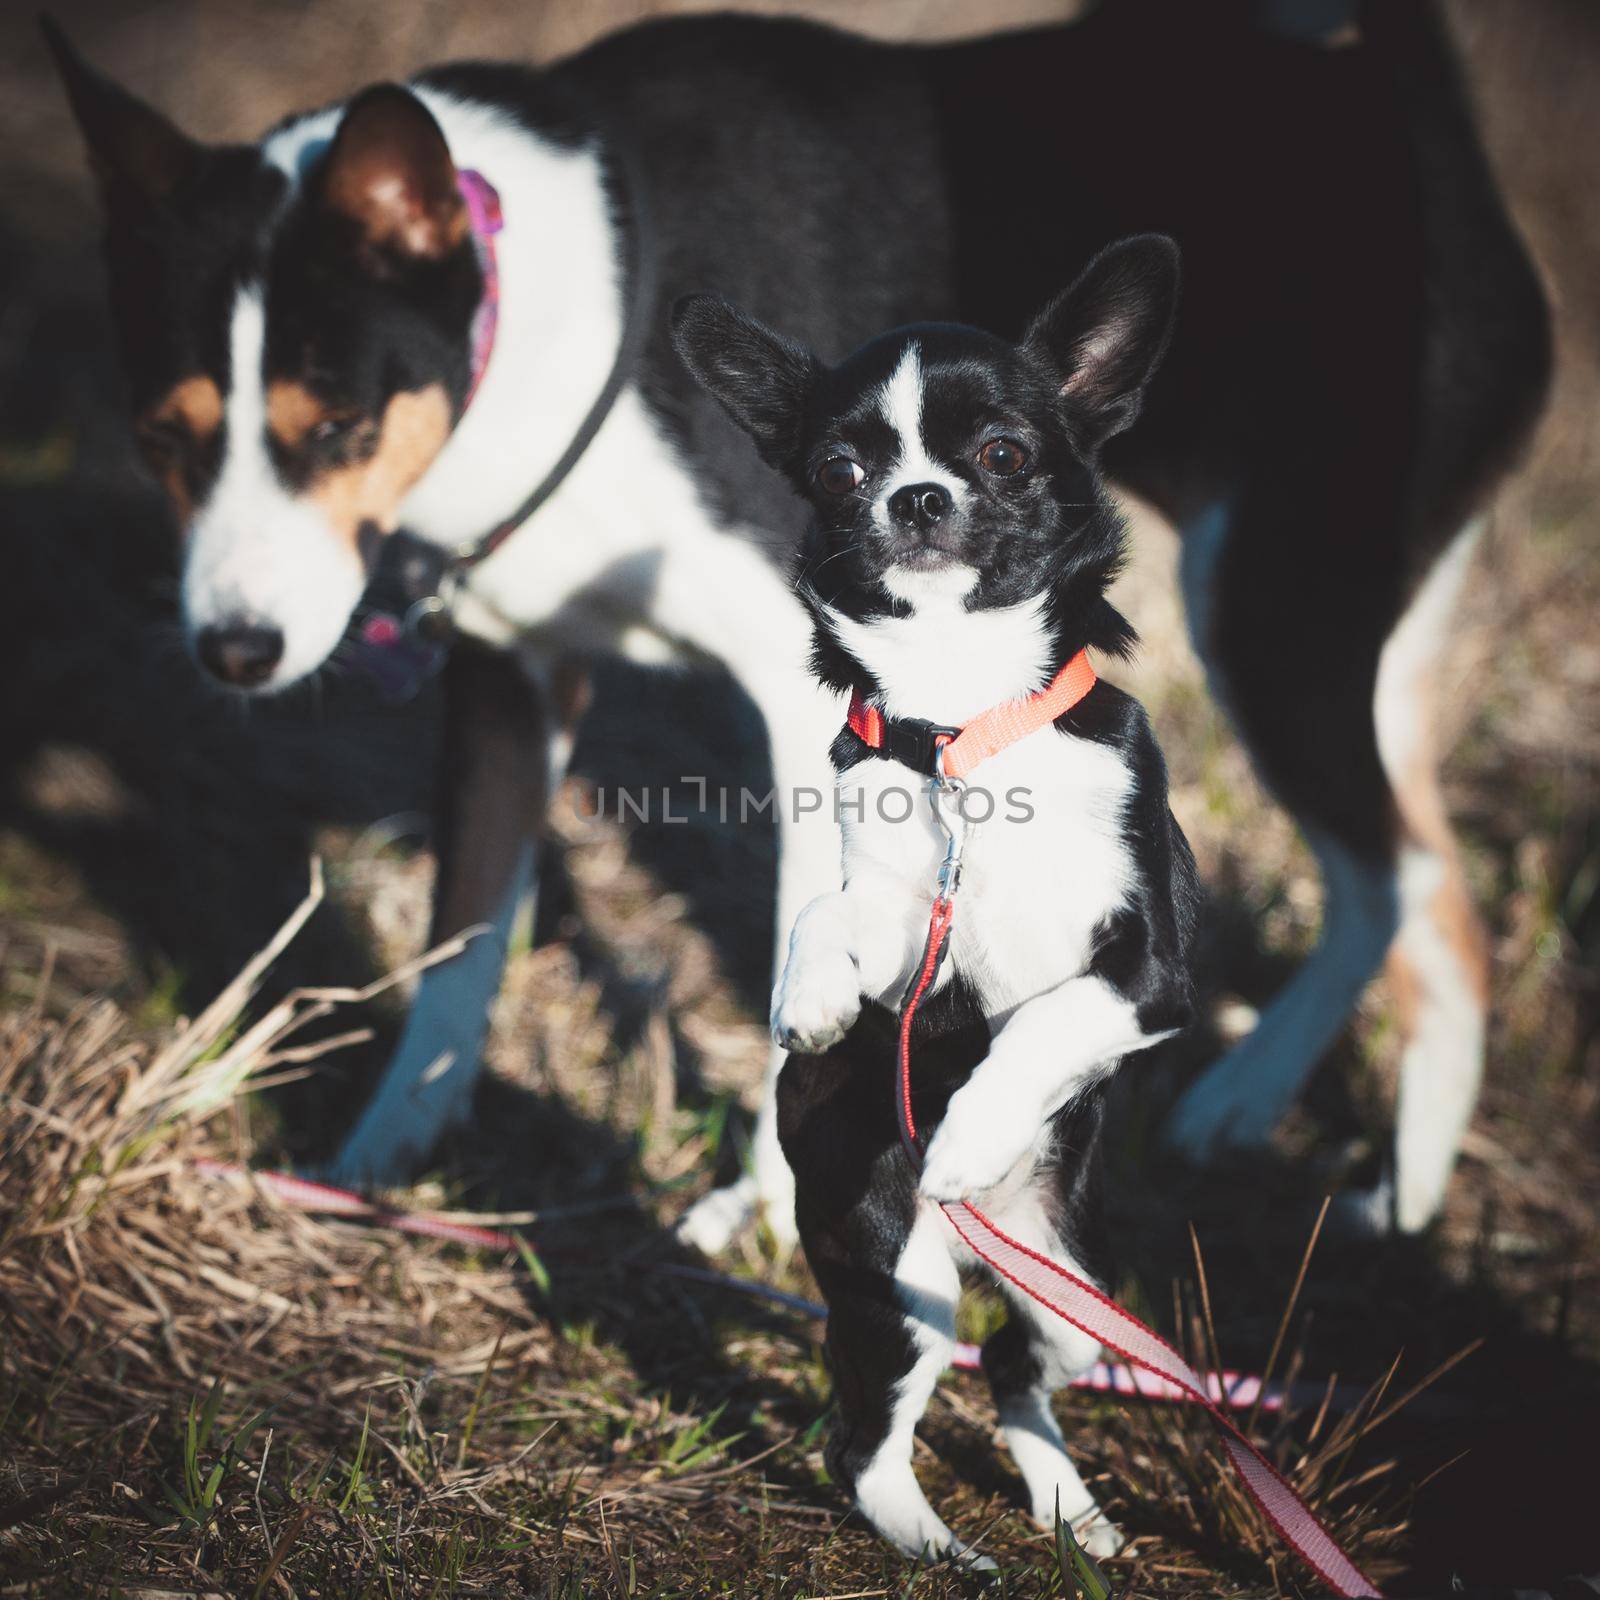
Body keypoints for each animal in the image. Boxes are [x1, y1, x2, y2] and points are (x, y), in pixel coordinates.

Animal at [53, 0, 1548, 1241]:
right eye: (164, 439)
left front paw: (768, 1211)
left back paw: (1369, 1174)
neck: (538, 328)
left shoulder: (806, 703)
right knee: (1416, 886)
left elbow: (800, 967)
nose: (233, 650)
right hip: (1348, 640)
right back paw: (1288, 1126)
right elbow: (461, 945)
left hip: (1270, 616)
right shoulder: (508, 671)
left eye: (338, 427)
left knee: (1409, 885)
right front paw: (383, 1154)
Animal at [668, 240, 1196, 1561]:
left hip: (1079, 1297)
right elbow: (830, 913)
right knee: (864, 1435)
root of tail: (972, 1241)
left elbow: (1049, 1019)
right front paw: (810, 1001)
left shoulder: (1150, 971)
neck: (966, 726)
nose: (912, 497)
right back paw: (936, 1543)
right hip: (891, 1275)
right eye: (837, 469)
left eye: (1004, 453)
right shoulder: (901, 908)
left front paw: (964, 1129)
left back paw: (1072, 1516)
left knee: (1014, 1368)